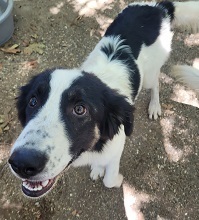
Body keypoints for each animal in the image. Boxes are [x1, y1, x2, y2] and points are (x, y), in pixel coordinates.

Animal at [8, 1, 199, 198]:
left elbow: (109, 180)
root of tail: (158, 6)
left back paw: (155, 106)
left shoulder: (116, 149)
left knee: (156, 84)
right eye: (33, 101)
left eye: (80, 109)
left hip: (149, 75)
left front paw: (117, 179)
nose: (21, 163)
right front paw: (97, 169)